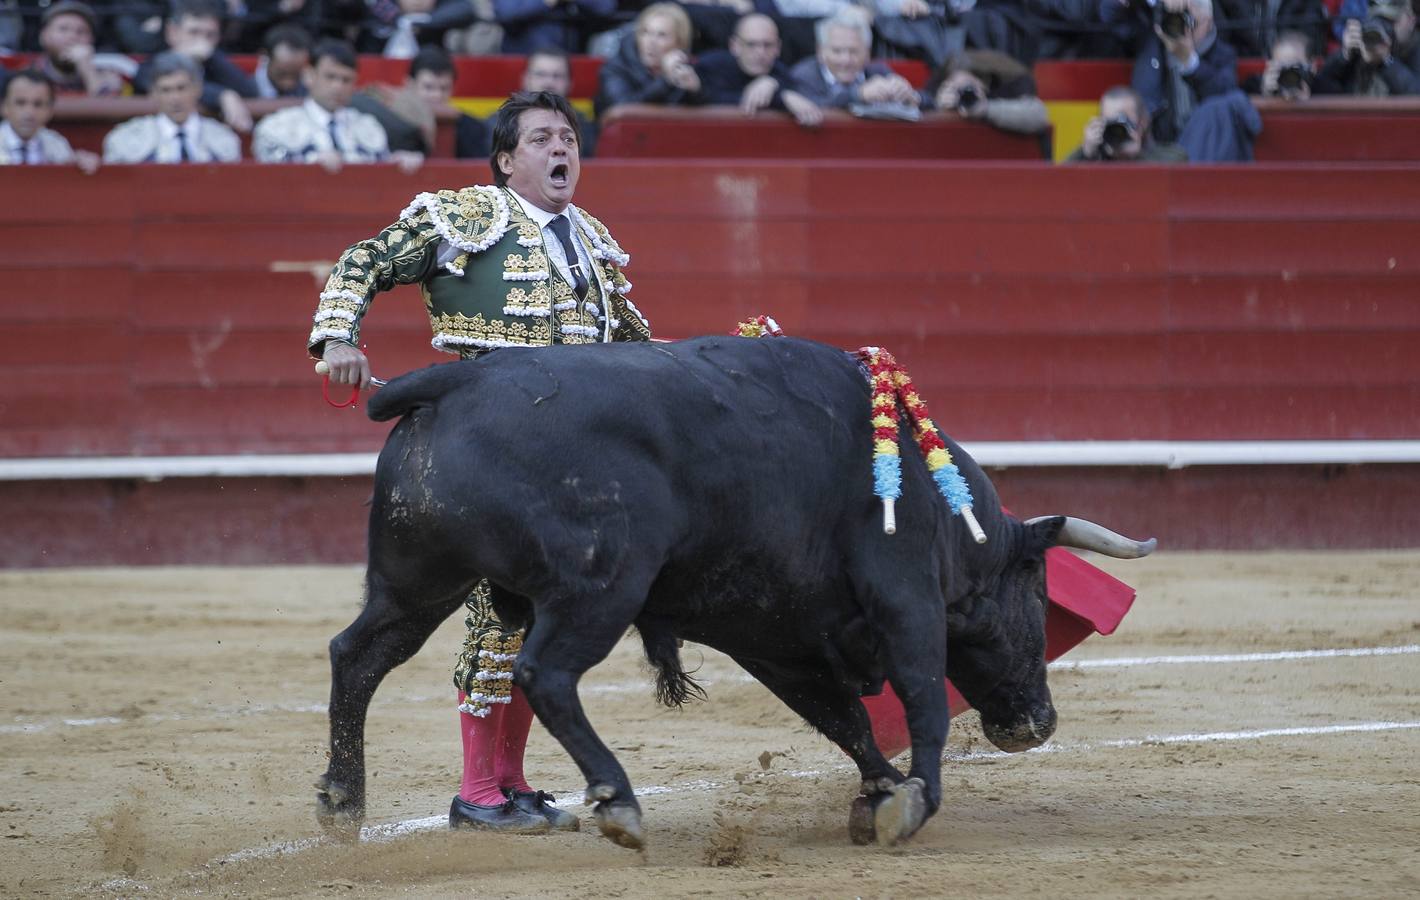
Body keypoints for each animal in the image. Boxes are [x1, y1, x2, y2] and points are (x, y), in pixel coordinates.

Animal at [313, 333, 1153, 846]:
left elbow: (843, 718)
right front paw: (912, 802)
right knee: (543, 674)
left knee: (358, 656)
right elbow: (921, 702)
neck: (942, 512)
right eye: (1036, 601)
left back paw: (342, 802)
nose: (1037, 723)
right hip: (600, 586)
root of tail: (455, 379)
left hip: (419, 581)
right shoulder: (905, 595)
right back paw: (618, 801)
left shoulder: (775, 634)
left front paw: (879, 792)